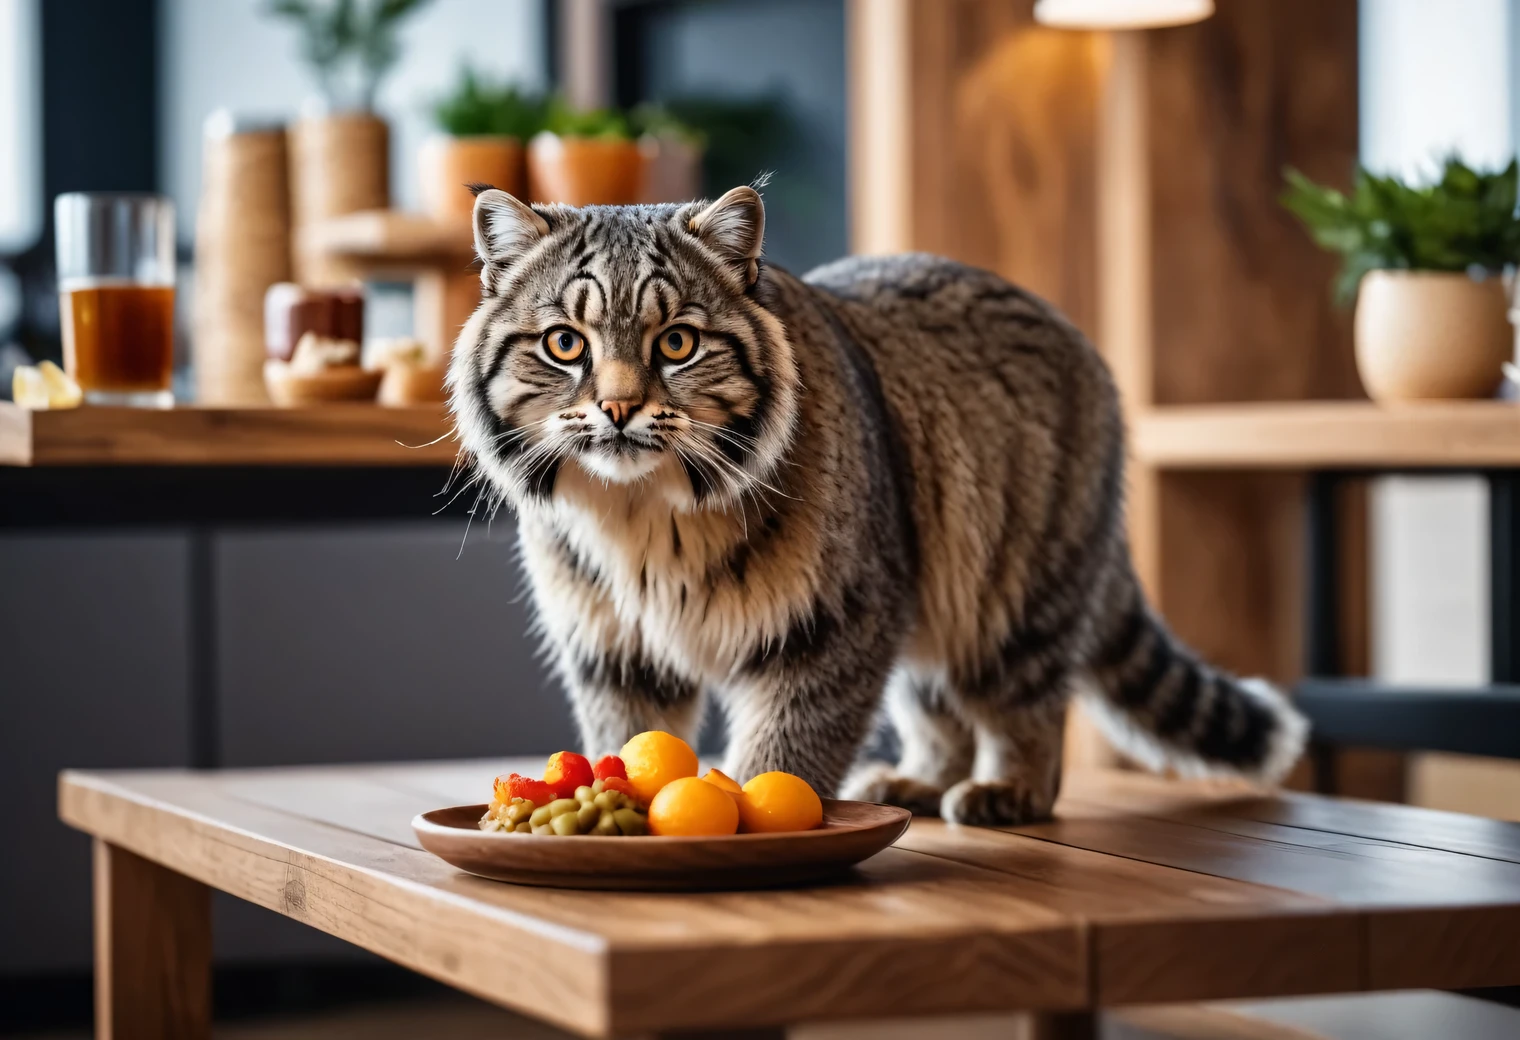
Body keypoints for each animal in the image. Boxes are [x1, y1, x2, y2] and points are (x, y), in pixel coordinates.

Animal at [446, 182, 1307, 827]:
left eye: (677, 344)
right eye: (565, 344)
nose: (620, 410)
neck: (645, 514)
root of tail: (1073, 334)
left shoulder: (833, 623)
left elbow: (784, 756)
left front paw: (755, 814)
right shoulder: (613, 651)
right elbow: (626, 741)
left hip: (1015, 595)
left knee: (1028, 705)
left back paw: (1010, 789)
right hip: (933, 597)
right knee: (937, 704)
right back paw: (918, 782)